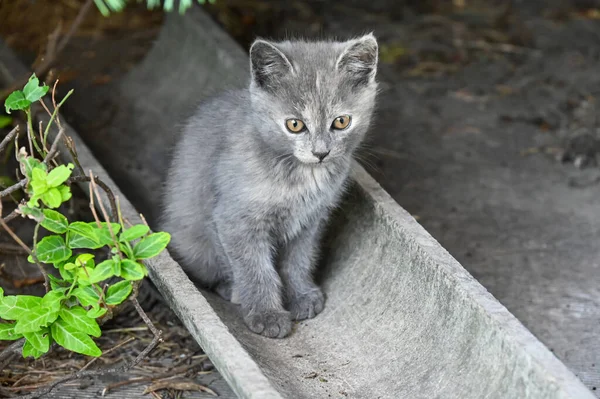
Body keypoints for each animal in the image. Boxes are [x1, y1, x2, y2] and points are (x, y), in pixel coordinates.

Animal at [159, 34, 376, 340]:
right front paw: (266, 314)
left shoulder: (310, 220)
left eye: (341, 121)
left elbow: (298, 259)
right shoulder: (235, 220)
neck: (299, 176)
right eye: (295, 124)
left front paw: (301, 295)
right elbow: (254, 269)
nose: (321, 152)